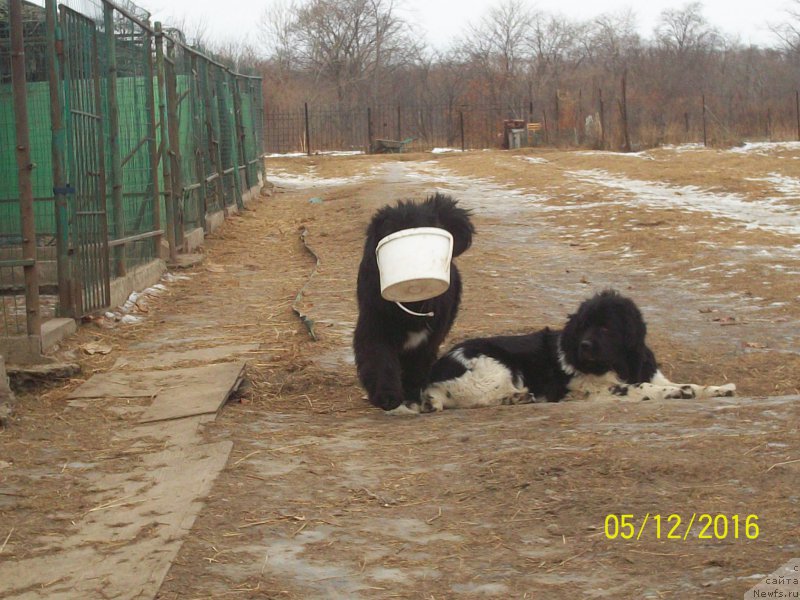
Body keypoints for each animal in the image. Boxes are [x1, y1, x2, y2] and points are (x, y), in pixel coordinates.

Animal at [352, 192, 476, 412]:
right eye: (391, 231)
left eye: (420, 227)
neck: (411, 305)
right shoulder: (375, 329)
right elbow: (381, 362)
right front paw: (387, 397)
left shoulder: (427, 341)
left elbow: (416, 369)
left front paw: (410, 396)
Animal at [418, 290, 736, 412]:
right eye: (583, 326)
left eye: (606, 327)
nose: (584, 346)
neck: (620, 364)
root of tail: (433, 374)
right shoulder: (597, 390)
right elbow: (643, 388)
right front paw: (677, 393)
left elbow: (687, 383)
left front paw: (718, 389)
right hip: (494, 365)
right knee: (479, 396)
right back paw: (518, 397)